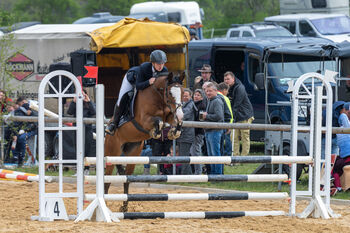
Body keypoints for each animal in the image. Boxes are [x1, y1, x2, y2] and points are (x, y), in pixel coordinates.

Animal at [104, 71, 186, 211]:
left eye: (182, 92)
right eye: (170, 93)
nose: (180, 113)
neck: (158, 96)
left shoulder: (169, 114)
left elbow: (175, 121)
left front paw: (174, 132)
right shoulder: (145, 120)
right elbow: (159, 121)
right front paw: (156, 133)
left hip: (133, 154)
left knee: (127, 178)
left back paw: (124, 207)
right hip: (112, 153)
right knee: (107, 181)